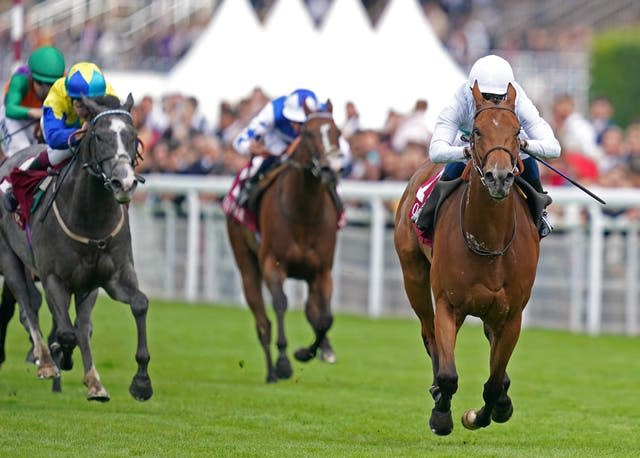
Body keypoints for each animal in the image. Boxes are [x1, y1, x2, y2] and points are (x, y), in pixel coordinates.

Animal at [0, 94, 151, 400]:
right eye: (99, 136)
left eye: (133, 136)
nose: (124, 182)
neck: (90, 220)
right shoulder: (53, 278)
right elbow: (65, 332)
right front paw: (58, 356)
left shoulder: (110, 278)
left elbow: (139, 304)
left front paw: (141, 382)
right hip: (9, 259)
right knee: (28, 304)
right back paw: (46, 361)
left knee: (80, 324)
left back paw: (94, 382)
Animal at [228, 100, 342, 382]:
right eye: (308, 133)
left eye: (338, 132)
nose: (331, 169)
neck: (303, 211)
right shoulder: (272, 263)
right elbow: (280, 304)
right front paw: (283, 363)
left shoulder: (322, 271)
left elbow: (325, 318)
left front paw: (308, 352)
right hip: (247, 264)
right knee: (262, 321)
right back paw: (271, 372)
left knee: (312, 310)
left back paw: (324, 349)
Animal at [396, 82, 540, 436]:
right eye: (476, 131)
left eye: (518, 132)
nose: (499, 177)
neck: (489, 239)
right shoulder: (449, 305)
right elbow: (448, 374)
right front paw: (442, 415)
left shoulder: (511, 314)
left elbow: (493, 382)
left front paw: (487, 411)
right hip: (413, 275)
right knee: (429, 333)